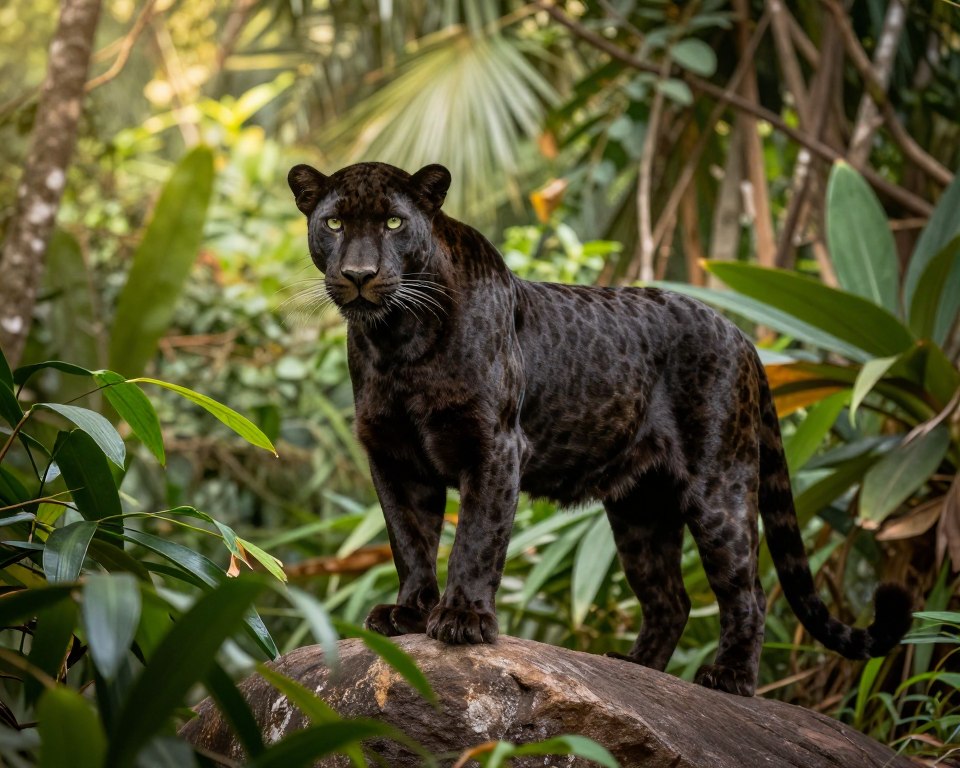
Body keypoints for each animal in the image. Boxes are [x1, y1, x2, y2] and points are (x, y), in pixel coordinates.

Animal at [287, 160, 913, 696]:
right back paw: (635, 668)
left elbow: (476, 538)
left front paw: (462, 621)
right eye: (335, 222)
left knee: (749, 591)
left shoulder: (494, 447)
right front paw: (410, 613)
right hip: (641, 510)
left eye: (394, 223)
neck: (397, 342)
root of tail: (742, 335)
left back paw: (729, 678)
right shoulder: (394, 457)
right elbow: (411, 541)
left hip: (720, 487)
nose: (360, 275)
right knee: (671, 599)